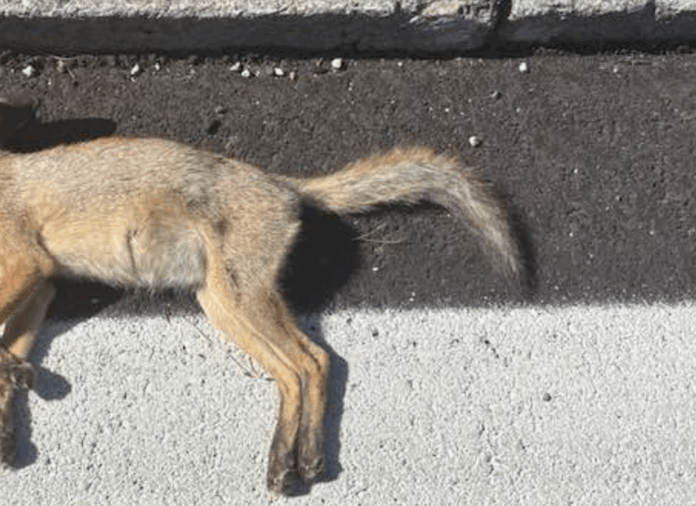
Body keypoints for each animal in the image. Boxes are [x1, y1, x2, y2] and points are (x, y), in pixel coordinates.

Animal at [0, 97, 521, 496]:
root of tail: (281, 181)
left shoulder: (28, 263)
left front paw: (12, 384)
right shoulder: (42, 286)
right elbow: (11, 346)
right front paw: (9, 411)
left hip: (238, 298)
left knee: (315, 360)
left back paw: (299, 455)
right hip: (221, 304)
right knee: (296, 371)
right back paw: (291, 458)